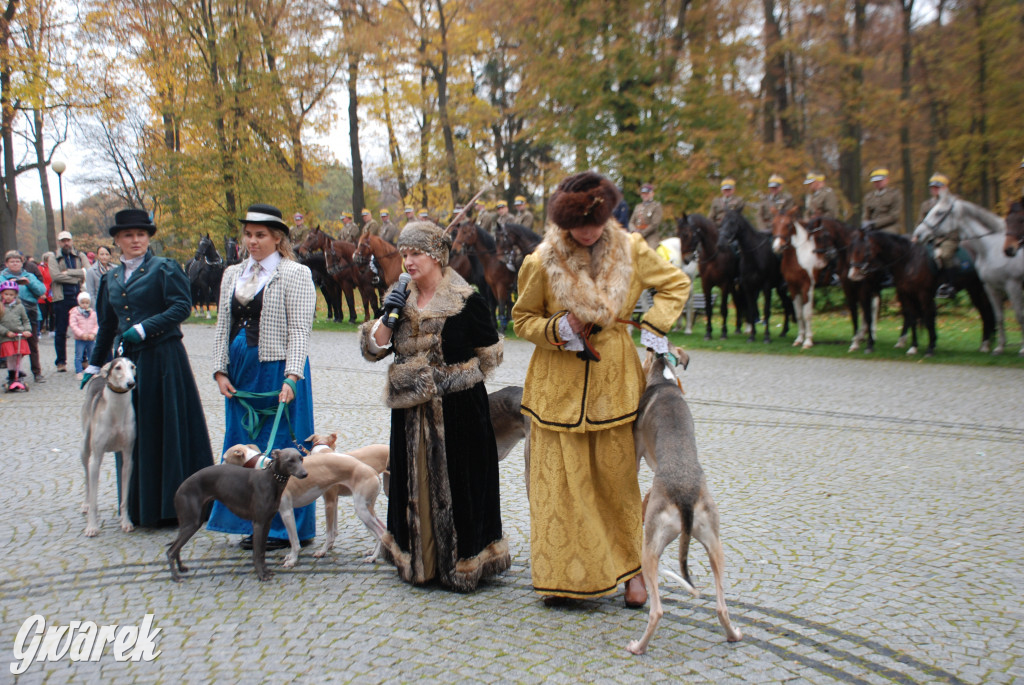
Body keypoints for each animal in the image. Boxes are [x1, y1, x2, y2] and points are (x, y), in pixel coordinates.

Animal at [716, 210, 794, 341]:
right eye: (721, 222)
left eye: (732, 222)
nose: (721, 244)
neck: (754, 255)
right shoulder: (748, 287)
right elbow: (751, 311)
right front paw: (752, 336)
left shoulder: (766, 286)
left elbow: (766, 311)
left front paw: (766, 337)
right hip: (780, 289)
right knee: (786, 305)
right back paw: (784, 331)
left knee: (787, 305)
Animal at [913, 189, 1024, 356]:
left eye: (939, 212)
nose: (918, 234)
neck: (991, 249)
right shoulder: (990, 287)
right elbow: (999, 316)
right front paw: (999, 348)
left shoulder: (1013, 286)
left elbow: (1019, 315)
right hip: (976, 290)